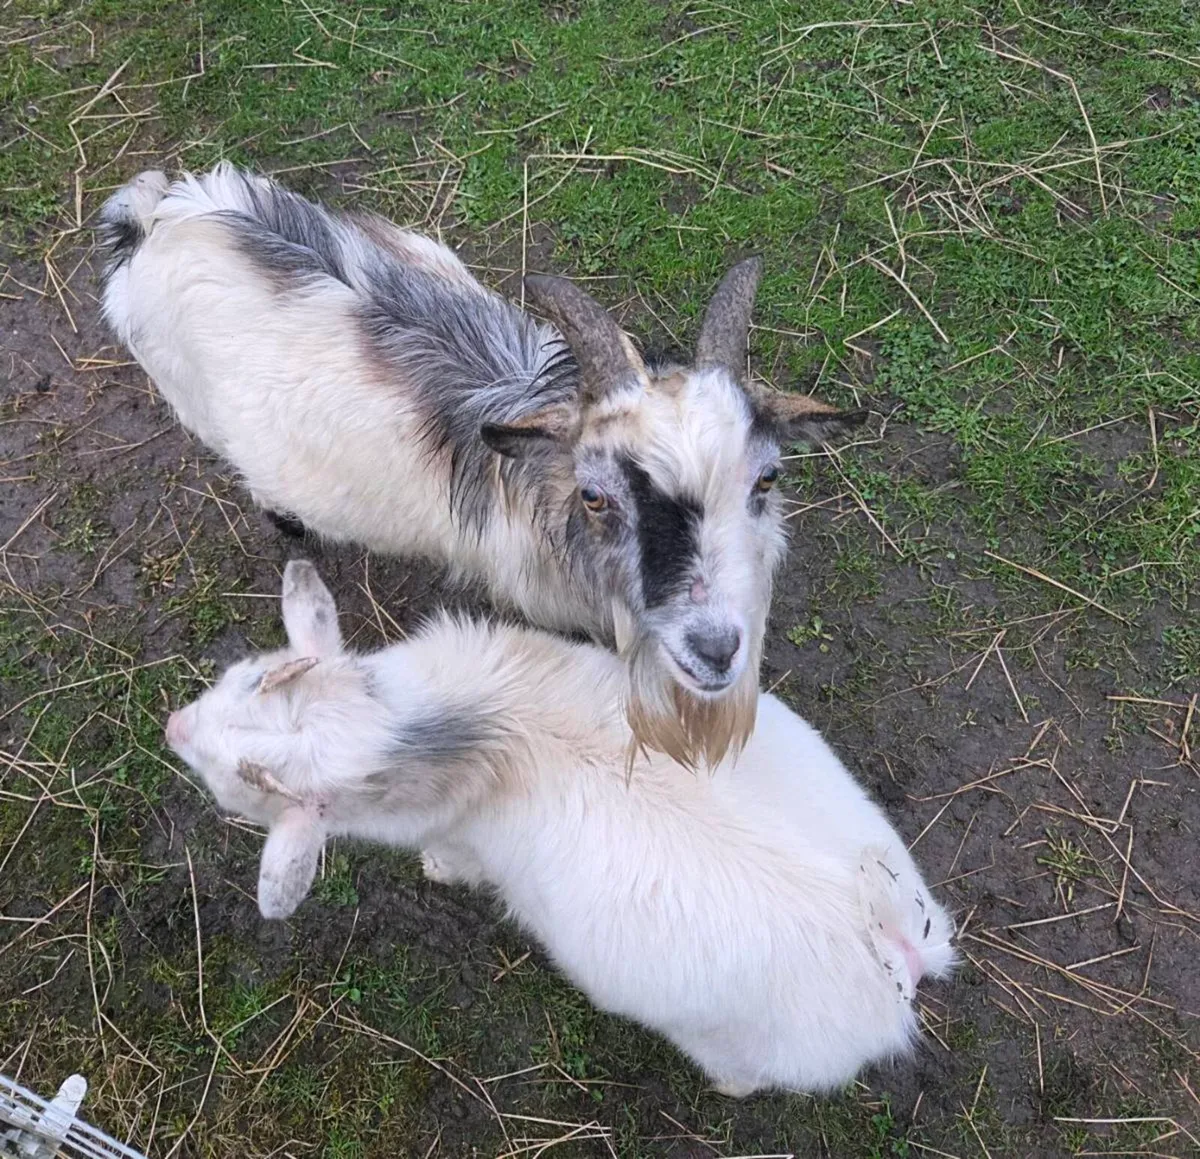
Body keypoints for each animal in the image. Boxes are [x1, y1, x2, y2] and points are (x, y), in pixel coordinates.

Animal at [166, 560, 956, 1097]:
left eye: (237, 783)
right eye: (244, 676)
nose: (173, 726)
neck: (447, 736)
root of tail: (898, 952)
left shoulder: (458, 831)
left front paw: (435, 872)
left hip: (737, 1044)